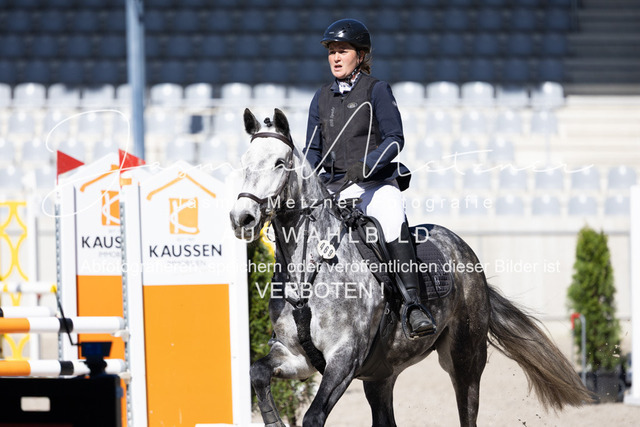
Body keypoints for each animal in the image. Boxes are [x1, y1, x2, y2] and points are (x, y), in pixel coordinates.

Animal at [229, 108, 591, 427]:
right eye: (243, 164)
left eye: (280, 163)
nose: (242, 218)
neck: (310, 270)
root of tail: (462, 247)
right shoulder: (297, 357)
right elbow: (257, 372)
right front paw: (274, 420)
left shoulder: (344, 357)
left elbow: (313, 416)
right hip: (381, 374)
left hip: (465, 358)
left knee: (467, 410)